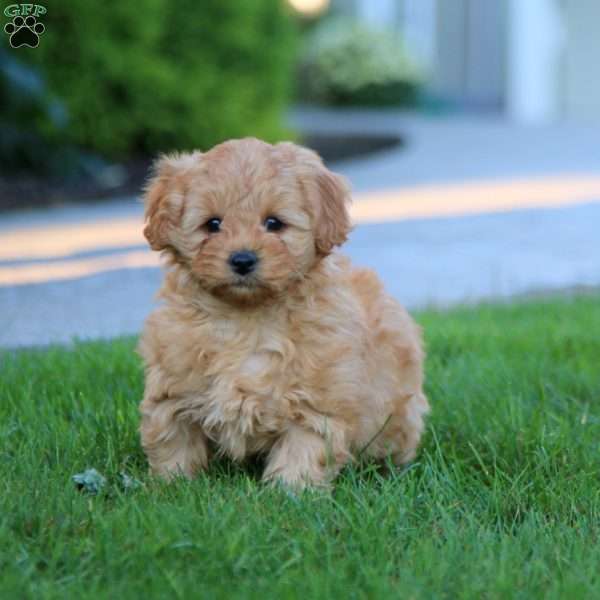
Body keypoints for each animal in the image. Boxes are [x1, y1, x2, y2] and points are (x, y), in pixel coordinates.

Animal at [138, 138, 428, 490]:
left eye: (274, 223)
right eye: (213, 224)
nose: (242, 259)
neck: (245, 318)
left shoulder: (317, 403)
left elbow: (303, 449)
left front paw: (290, 491)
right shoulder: (172, 389)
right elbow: (173, 439)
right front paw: (172, 485)